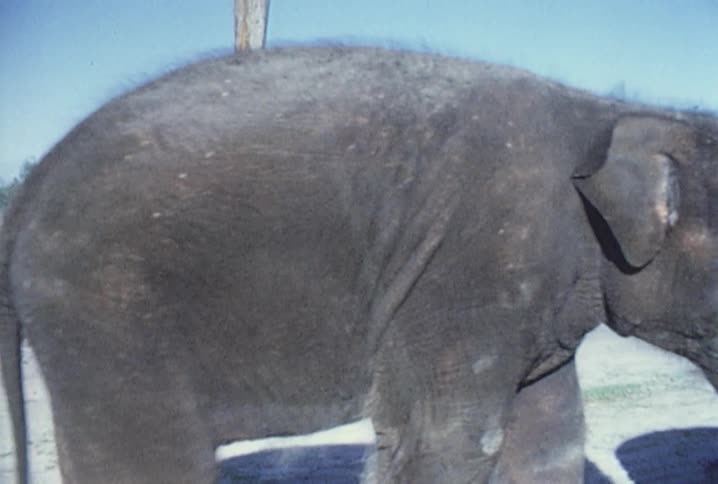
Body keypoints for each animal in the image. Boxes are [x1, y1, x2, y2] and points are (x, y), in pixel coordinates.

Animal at [1, 46, 716, 483]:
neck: (611, 114)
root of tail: (26, 198)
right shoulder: (475, 271)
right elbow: (451, 442)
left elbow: (551, 438)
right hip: (105, 313)